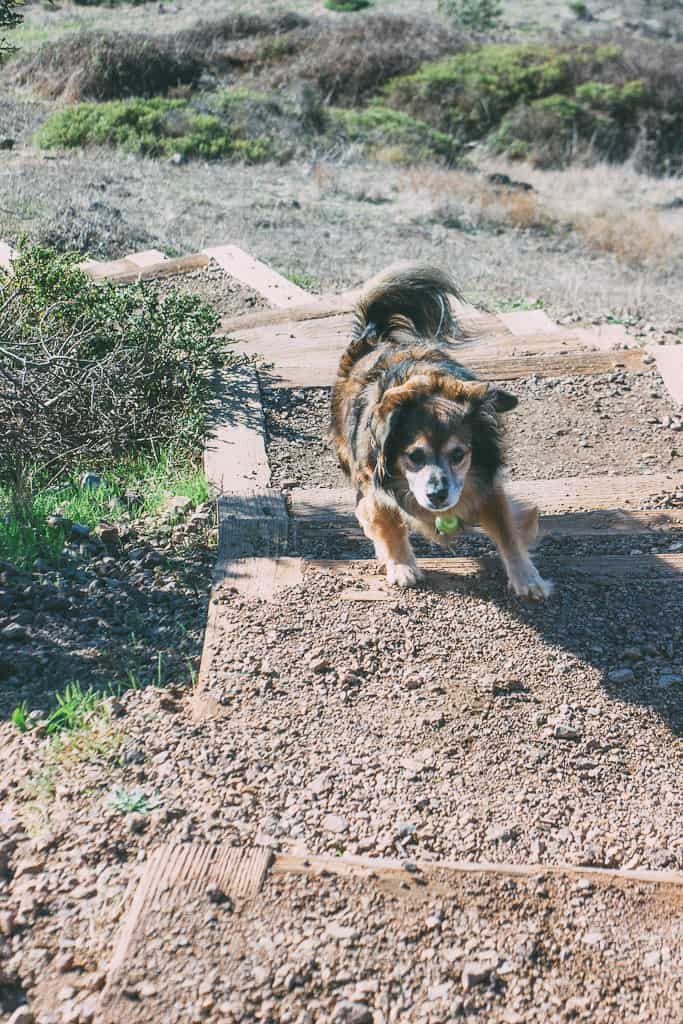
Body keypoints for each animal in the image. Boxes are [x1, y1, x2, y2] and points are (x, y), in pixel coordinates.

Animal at [327, 264, 552, 598]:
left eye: (458, 455)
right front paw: (402, 566)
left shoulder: (486, 486)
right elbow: (387, 523)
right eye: (414, 456)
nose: (437, 495)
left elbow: (507, 530)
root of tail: (371, 337)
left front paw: (527, 578)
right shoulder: (374, 484)